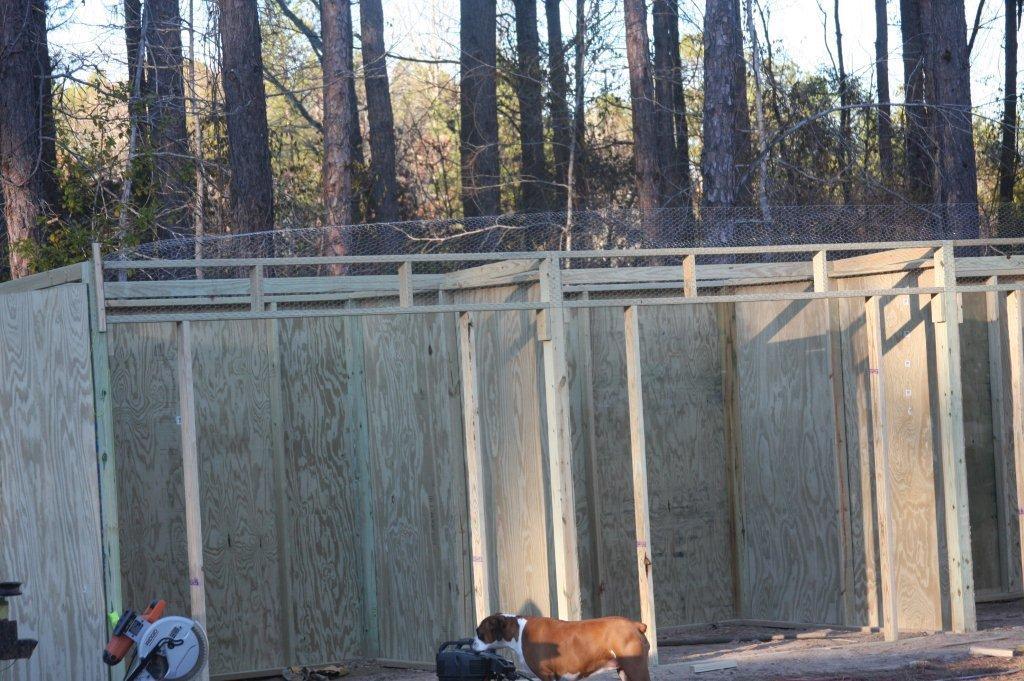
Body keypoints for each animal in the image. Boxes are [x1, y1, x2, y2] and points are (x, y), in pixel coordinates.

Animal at [472, 613, 651, 681]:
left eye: (479, 633)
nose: (471, 643)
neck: (519, 631)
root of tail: (635, 625)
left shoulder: (546, 675)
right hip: (624, 671)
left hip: (636, 669)